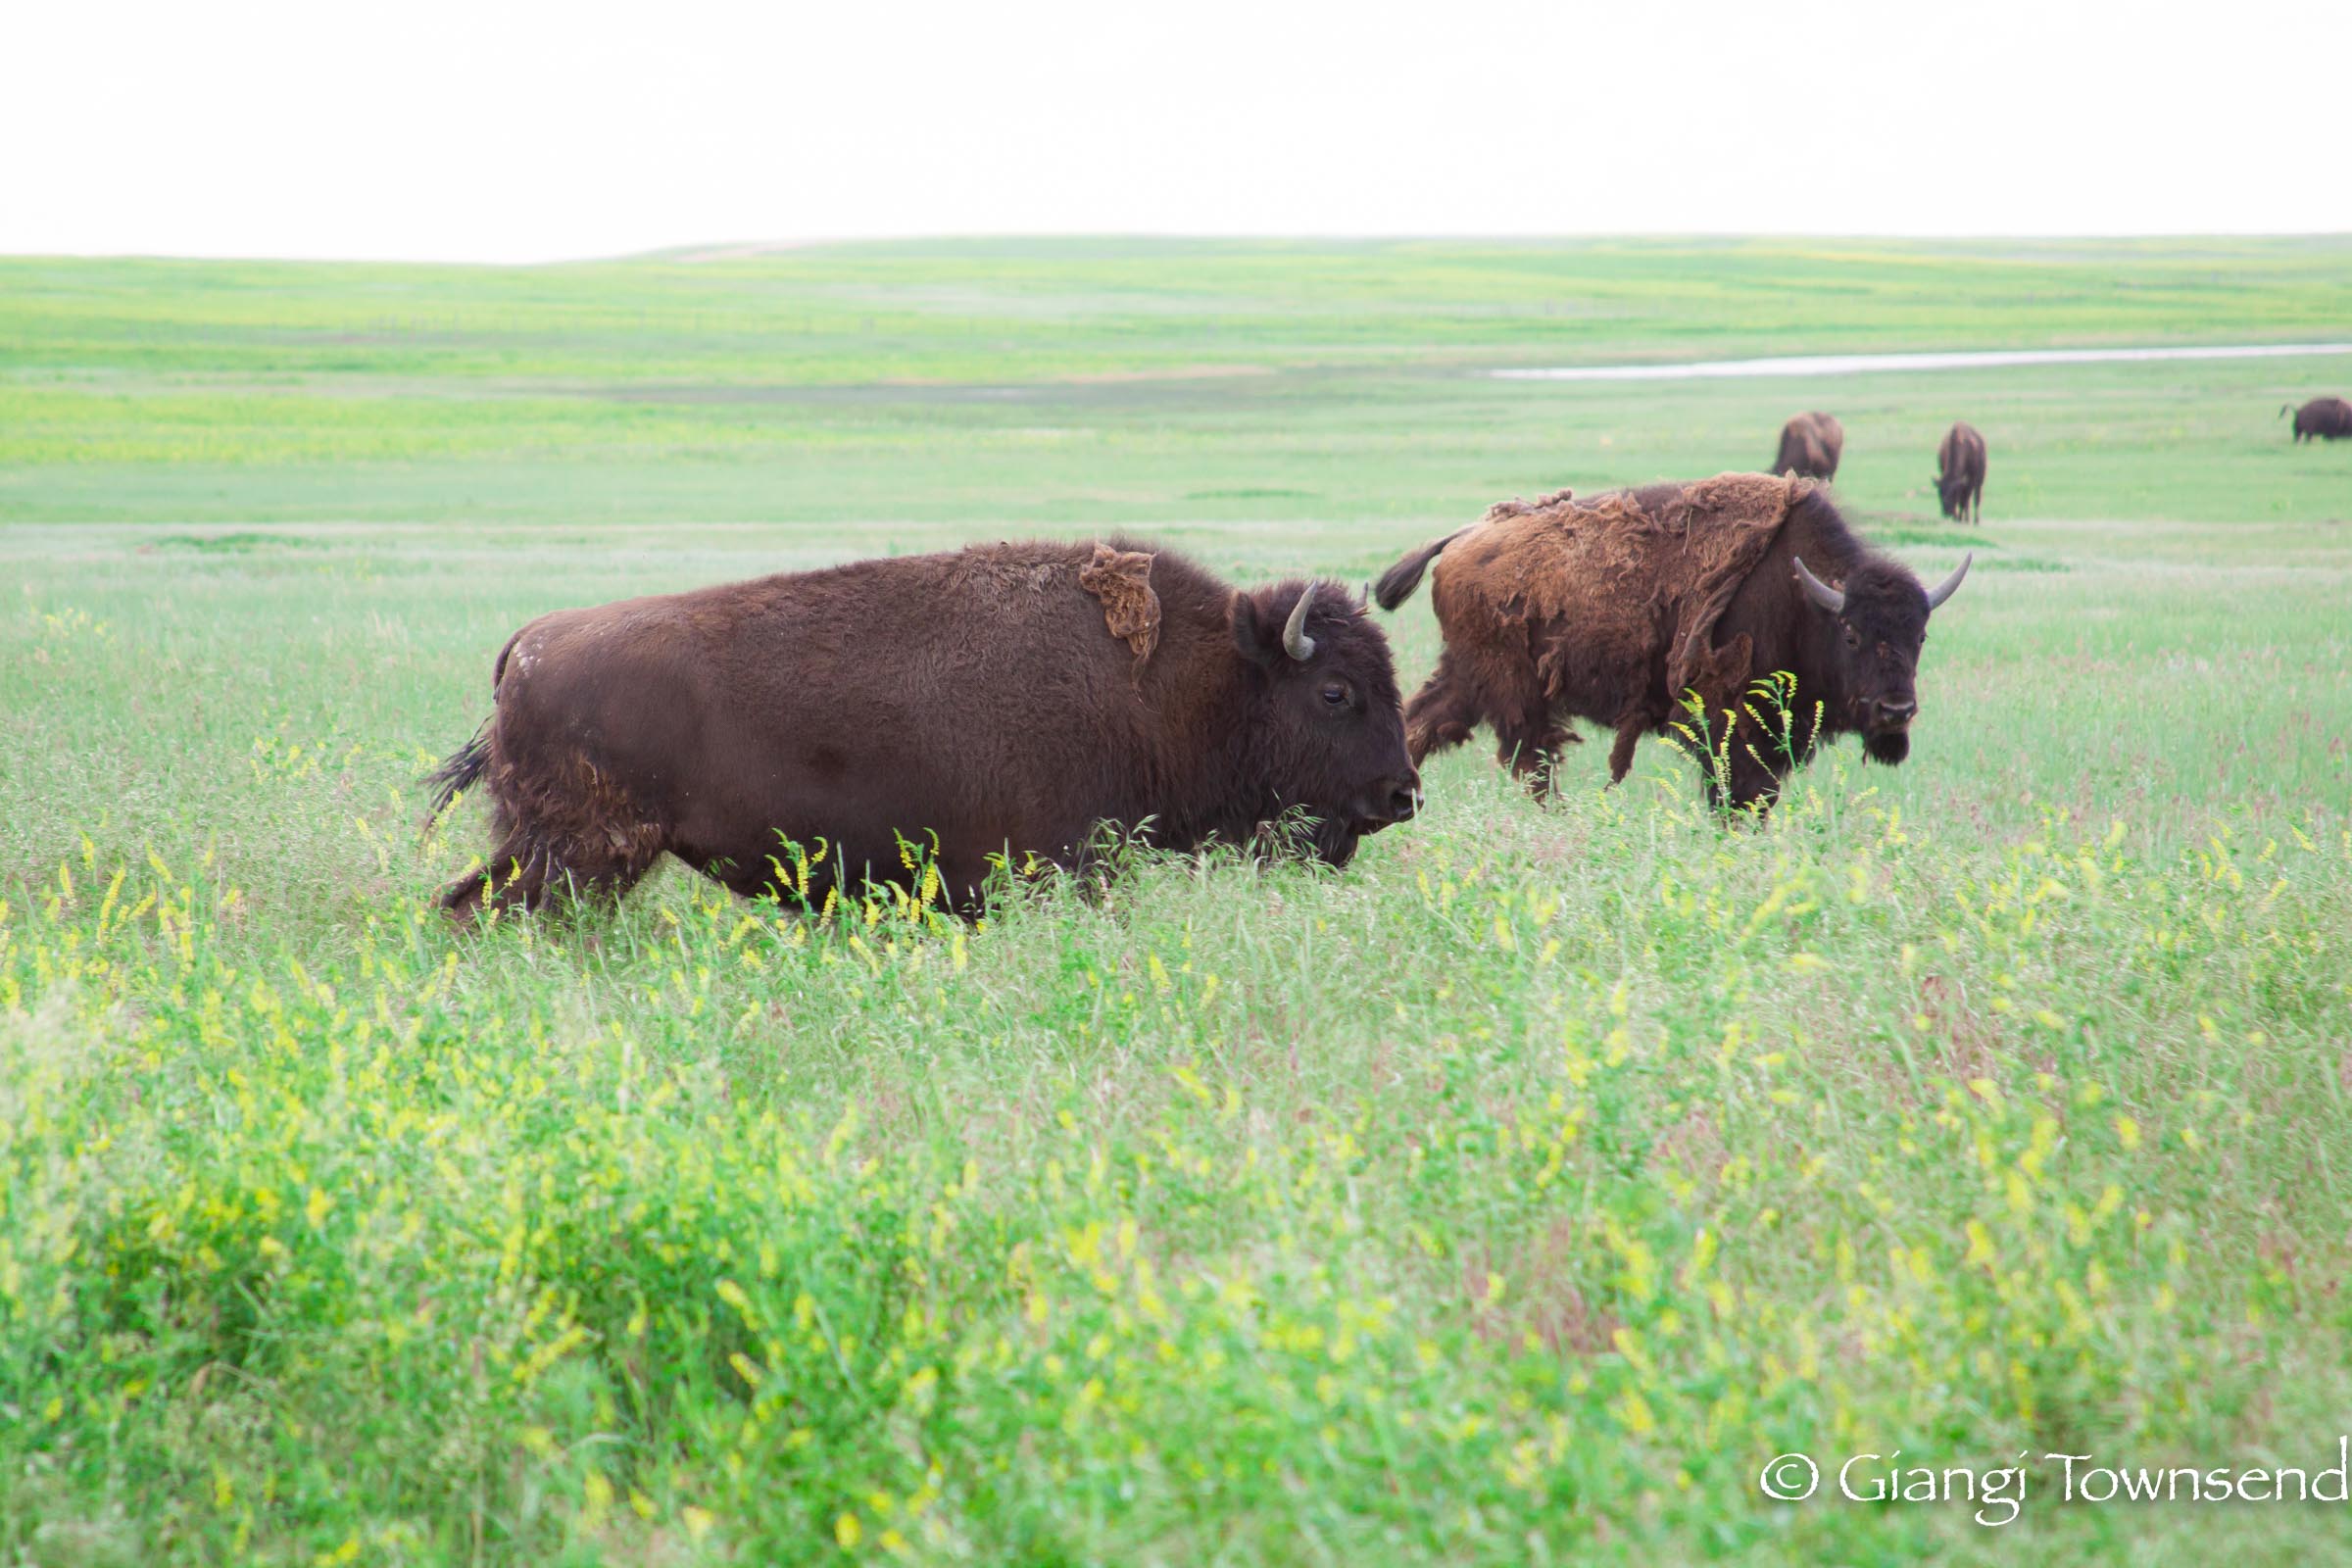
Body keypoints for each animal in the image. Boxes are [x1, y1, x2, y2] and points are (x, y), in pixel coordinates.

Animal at [1373, 472, 1976, 817]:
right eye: (1851, 634)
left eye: (1920, 635)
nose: (1896, 710)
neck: (1801, 597)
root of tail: (1463, 537)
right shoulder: (1731, 724)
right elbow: (1740, 791)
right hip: (1510, 690)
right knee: (1531, 762)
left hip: (1468, 678)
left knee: (1425, 726)